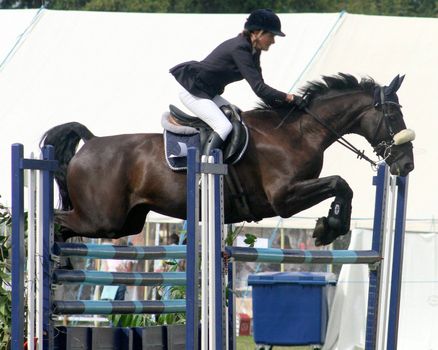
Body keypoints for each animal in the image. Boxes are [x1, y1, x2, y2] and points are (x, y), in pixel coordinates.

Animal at [42, 73, 416, 246]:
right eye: (393, 116)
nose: (407, 165)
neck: (299, 132)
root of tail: (91, 142)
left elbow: (342, 186)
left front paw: (331, 225)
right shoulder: (283, 198)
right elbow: (340, 183)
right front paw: (329, 227)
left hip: (126, 222)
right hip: (101, 218)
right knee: (56, 221)